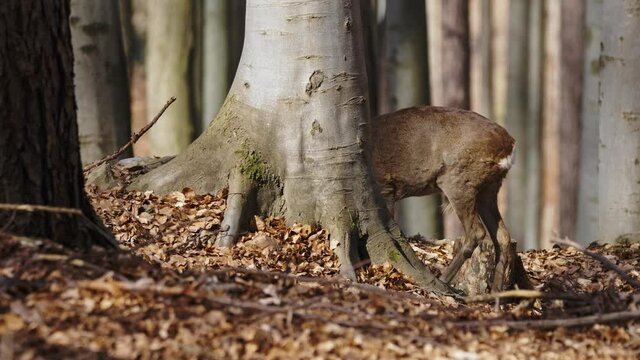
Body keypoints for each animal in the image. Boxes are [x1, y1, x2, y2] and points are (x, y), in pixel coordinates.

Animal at [372, 105, 516, 292]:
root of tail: (509, 145)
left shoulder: (385, 186)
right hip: (490, 187)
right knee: (503, 236)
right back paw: (494, 293)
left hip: (458, 180)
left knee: (477, 231)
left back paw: (443, 279)